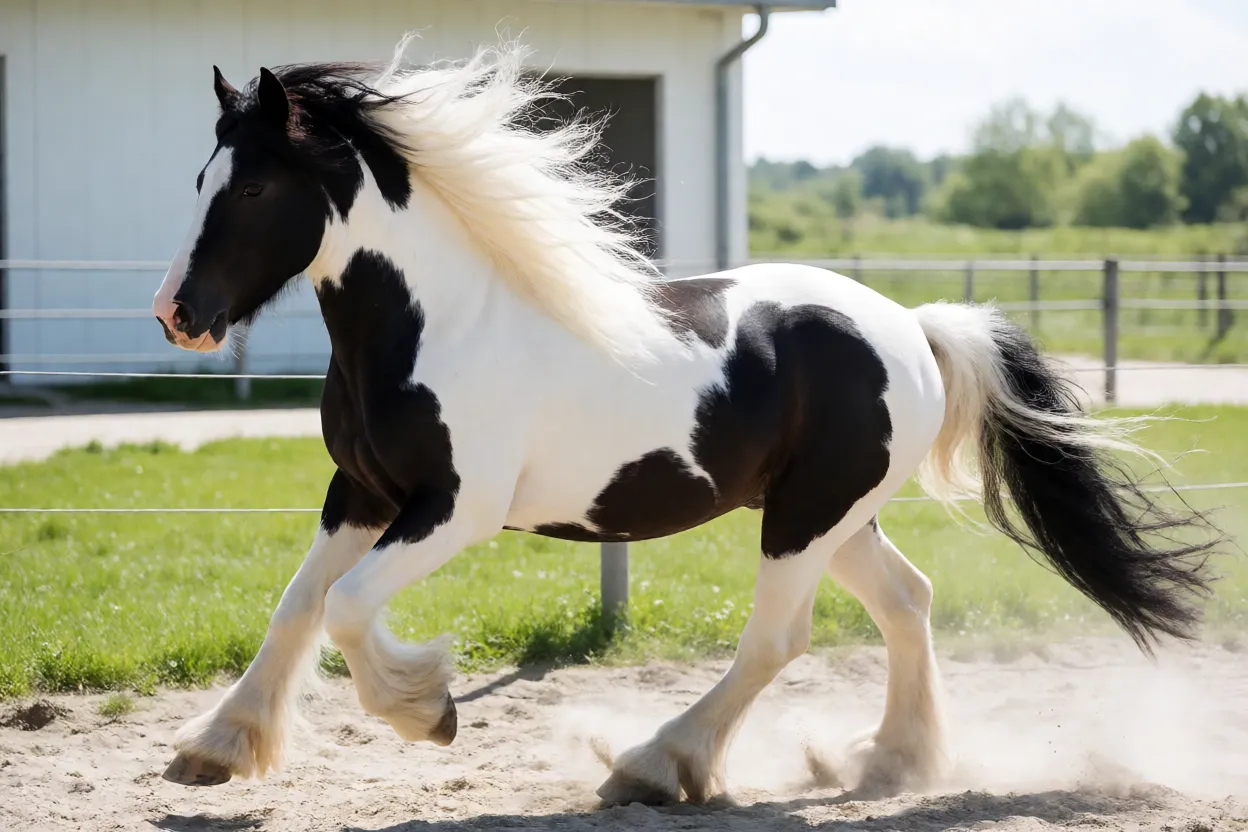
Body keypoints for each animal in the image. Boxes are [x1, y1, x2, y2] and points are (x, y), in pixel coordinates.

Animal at [150, 36, 1223, 804]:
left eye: (253, 186)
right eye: (197, 181)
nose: (177, 314)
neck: (436, 323)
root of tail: (914, 328)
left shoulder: (454, 508)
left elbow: (345, 607)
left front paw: (428, 711)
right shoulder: (362, 493)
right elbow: (298, 606)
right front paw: (217, 747)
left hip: (804, 520)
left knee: (777, 640)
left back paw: (656, 765)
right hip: (838, 516)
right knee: (907, 601)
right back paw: (889, 763)